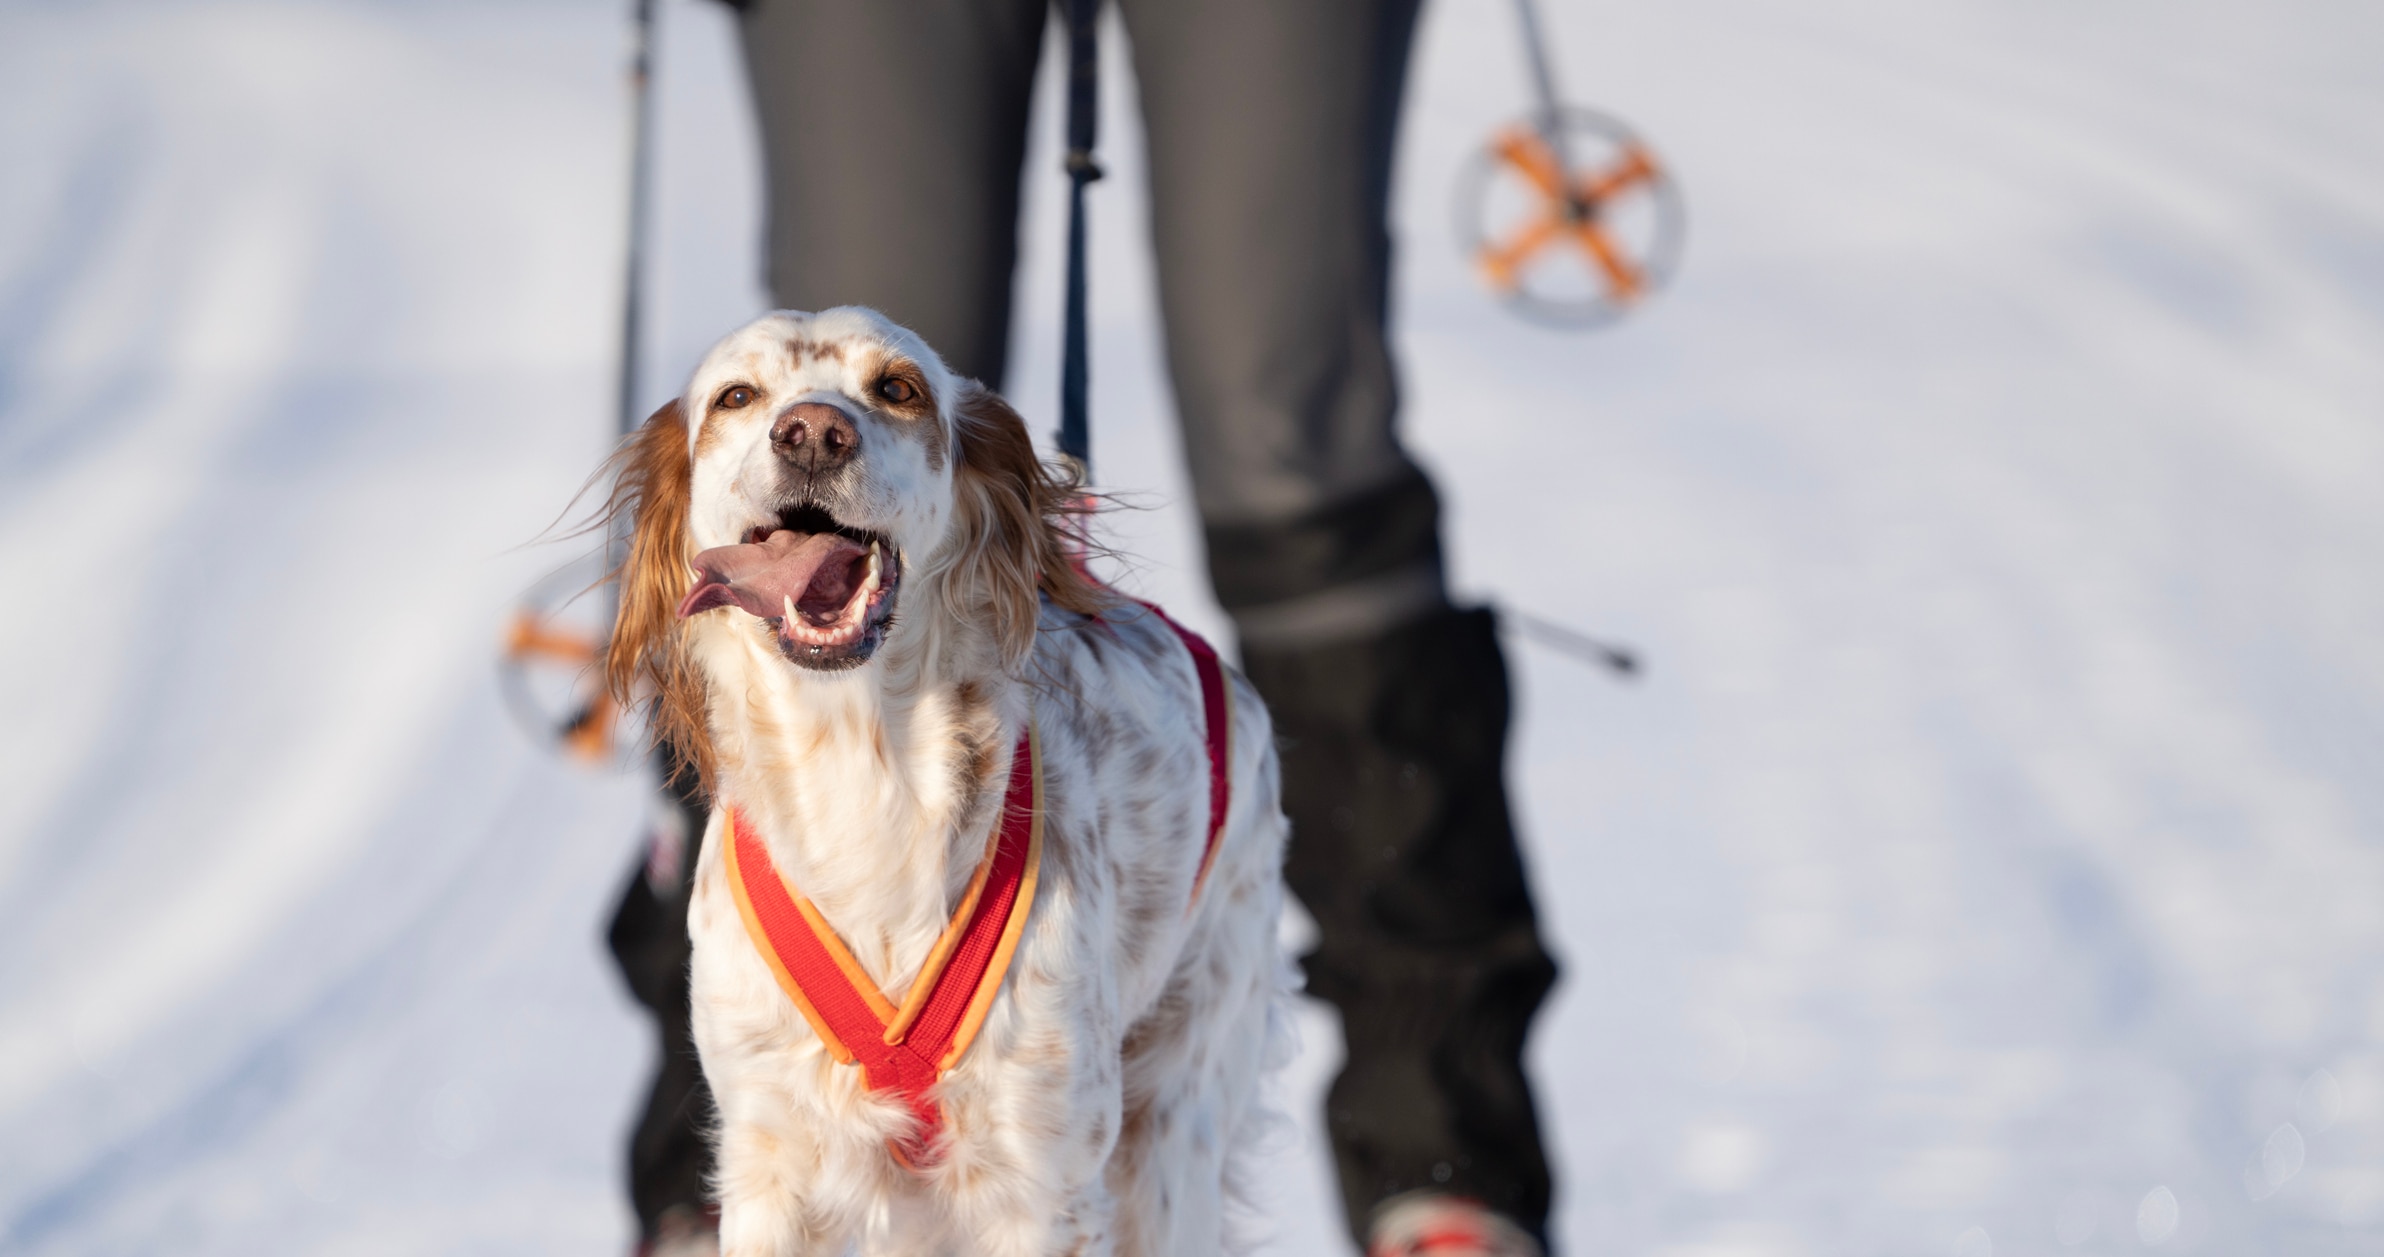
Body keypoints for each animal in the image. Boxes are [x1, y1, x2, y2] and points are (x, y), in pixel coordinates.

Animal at [605, 307, 1296, 1257]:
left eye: (898, 388)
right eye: (736, 397)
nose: (813, 433)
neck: (858, 763)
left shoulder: (1042, 1180)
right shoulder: (772, 1163)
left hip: (1174, 1117)